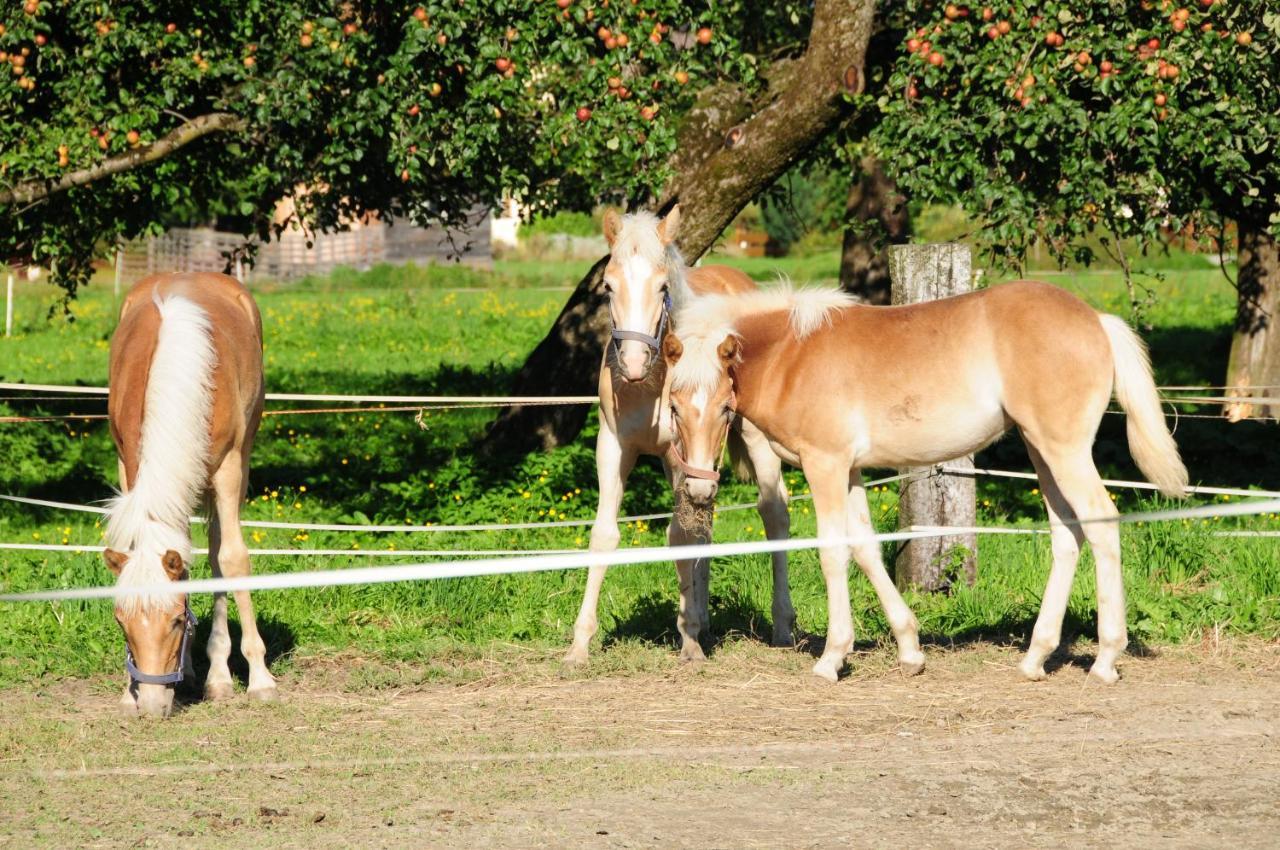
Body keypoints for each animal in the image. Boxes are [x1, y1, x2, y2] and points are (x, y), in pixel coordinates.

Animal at [105, 273, 277, 716]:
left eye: (176, 621)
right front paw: (126, 692)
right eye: (120, 621)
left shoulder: (229, 469)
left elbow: (232, 560)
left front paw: (259, 680)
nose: (151, 704)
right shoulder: (127, 467)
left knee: (218, 554)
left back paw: (219, 674)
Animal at [565, 208, 793, 665]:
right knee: (707, 522)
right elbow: (605, 534)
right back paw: (703, 618)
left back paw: (780, 624)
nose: (633, 361)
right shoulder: (613, 446)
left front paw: (688, 639)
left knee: (773, 513)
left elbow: (679, 535)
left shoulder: (679, 455)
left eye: (663, 286)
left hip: (752, 441)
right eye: (608, 286)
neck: (648, 385)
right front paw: (579, 645)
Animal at [665, 279, 1182, 686]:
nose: (700, 489)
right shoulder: (851, 471)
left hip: (1064, 450)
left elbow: (833, 553)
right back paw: (1035, 658)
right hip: (1042, 451)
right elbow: (867, 550)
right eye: (673, 406)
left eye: (725, 408)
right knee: (1067, 533)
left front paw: (832, 658)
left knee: (1101, 523)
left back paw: (1106, 659)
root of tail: (1095, 319)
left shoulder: (825, 464)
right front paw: (910, 651)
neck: (792, 352)